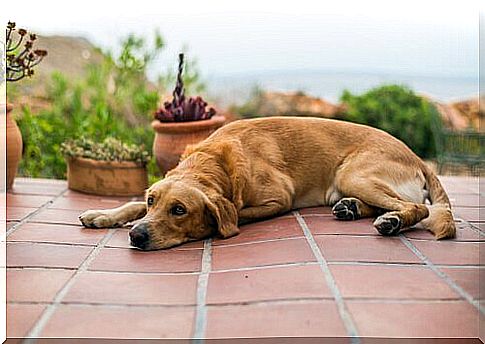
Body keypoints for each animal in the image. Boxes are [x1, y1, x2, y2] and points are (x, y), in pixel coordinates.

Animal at [78, 116, 454, 250]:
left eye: (180, 210)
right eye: (153, 201)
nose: (136, 236)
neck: (216, 161)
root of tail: (419, 158)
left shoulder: (278, 200)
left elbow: (233, 213)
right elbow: (132, 203)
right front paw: (104, 214)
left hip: (353, 173)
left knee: (417, 207)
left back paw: (391, 222)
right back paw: (352, 208)